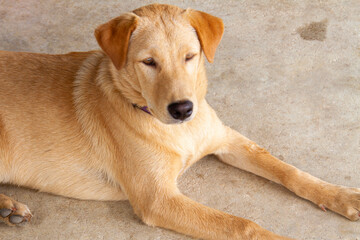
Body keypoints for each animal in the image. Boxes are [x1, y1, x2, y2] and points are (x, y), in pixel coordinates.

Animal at [0, 3, 358, 238]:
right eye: (148, 62)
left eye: (190, 56)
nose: (184, 109)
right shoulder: (158, 199)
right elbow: (242, 225)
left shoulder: (226, 140)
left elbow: (288, 170)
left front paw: (340, 196)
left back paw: (8, 210)